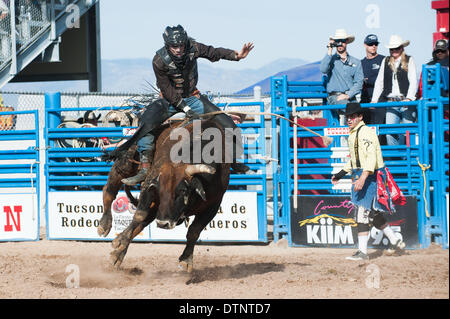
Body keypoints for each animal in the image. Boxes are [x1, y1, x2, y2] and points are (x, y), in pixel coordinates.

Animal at [97, 117, 234, 272]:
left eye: (183, 190)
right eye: (160, 190)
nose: (163, 223)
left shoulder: (213, 205)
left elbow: (194, 231)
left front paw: (186, 259)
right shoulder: (149, 187)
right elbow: (139, 215)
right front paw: (119, 242)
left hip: (156, 207)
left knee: (142, 224)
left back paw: (117, 255)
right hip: (125, 164)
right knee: (109, 191)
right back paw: (105, 225)